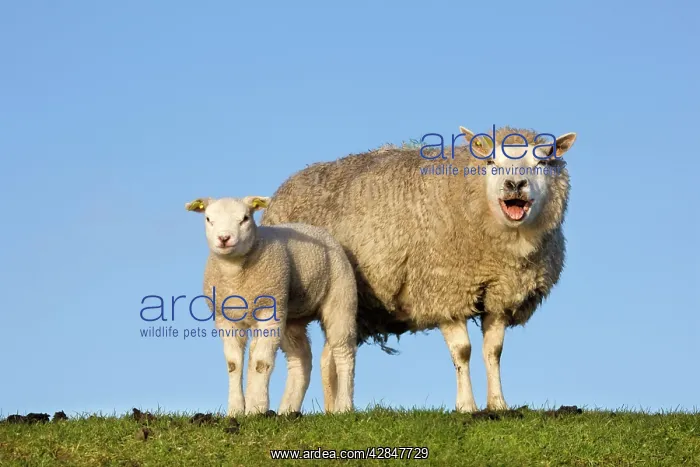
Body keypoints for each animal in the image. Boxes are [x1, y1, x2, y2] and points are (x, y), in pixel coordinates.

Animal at [185, 196, 358, 416]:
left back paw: (344, 406)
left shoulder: (268, 312)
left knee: (344, 351)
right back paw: (287, 410)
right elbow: (234, 364)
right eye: (208, 219)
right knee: (300, 359)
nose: (224, 238)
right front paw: (236, 410)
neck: (235, 275)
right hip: (290, 314)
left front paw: (257, 408)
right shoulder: (225, 319)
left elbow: (260, 363)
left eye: (245, 218)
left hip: (340, 298)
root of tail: (318, 231)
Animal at [260, 126, 577, 412]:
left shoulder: (501, 295)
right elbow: (463, 352)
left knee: (330, 356)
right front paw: (467, 406)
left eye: (542, 162)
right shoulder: (443, 291)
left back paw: (334, 410)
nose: (515, 184)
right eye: (490, 162)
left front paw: (498, 405)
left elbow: (493, 352)